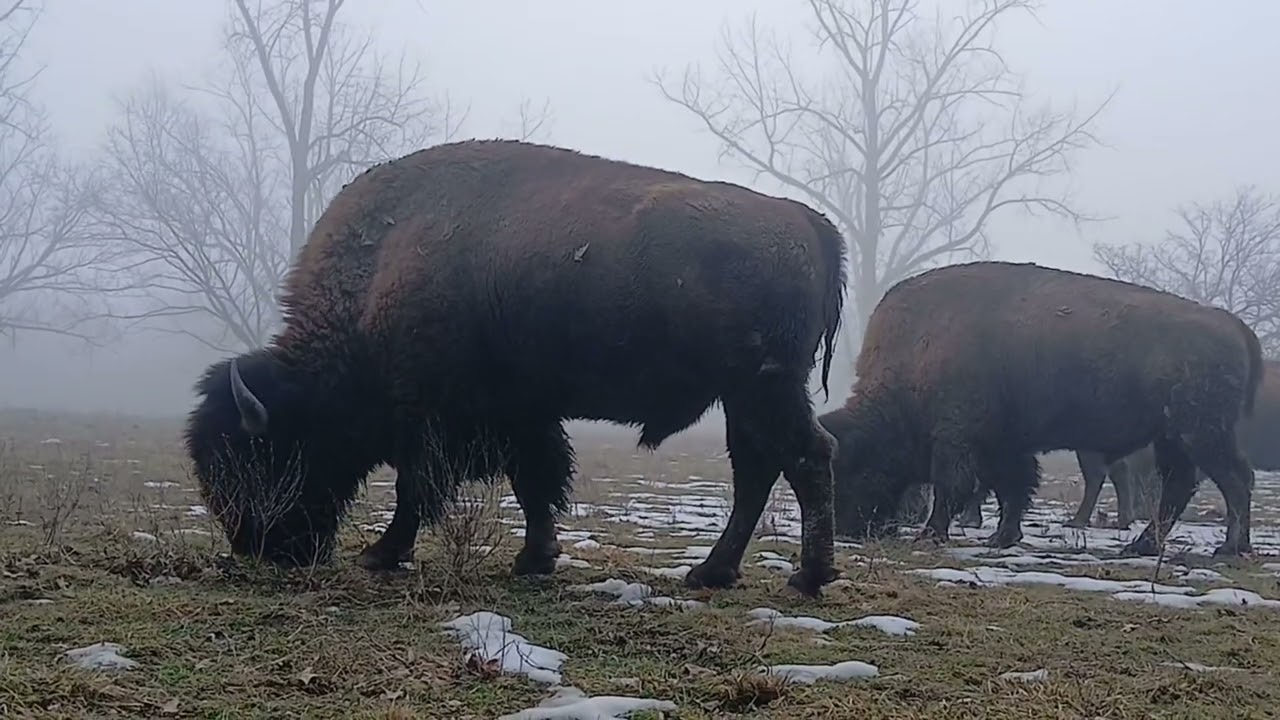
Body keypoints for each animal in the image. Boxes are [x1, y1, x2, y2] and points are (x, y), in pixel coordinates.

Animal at [184, 139, 848, 597]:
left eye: (255, 455)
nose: (260, 547)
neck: (378, 274)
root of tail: (807, 221)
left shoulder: (432, 421)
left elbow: (417, 489)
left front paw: (380, 554)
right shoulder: (522, 415)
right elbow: (536, 482)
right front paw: (536, 559)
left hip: (763, 387)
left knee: (804, 457)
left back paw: (805, 577)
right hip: (745, 396)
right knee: (759, 468)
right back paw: (713, 572)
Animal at [825, 261, 1262, 557]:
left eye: (853, 468)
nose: (846, 528)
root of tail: (1232, 323)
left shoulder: (957, 439)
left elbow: (955, 486)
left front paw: (932, 533)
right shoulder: (1004, 445)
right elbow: (1014, 488)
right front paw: (1002, 537)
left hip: (1200, 432)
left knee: (1234, 479)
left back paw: (1229, 548)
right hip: (1173, 437)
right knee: (1180, 486)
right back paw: (1144, 546)